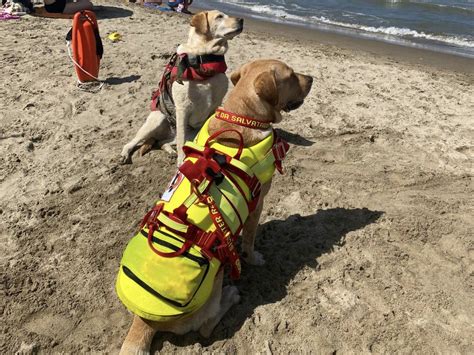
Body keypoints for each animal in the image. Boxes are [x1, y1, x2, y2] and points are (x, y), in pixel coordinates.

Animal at [120, 10, 243, 165]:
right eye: (219, 17)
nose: (242, 20)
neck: (204, 61)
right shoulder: (182, 109)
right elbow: (181, 141)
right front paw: (181, 162)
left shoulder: (214, 107)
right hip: (157, 119)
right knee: (134, 142)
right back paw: (125, 153)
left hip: (188, 132)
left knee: (162, 142)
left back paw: (169, 151)